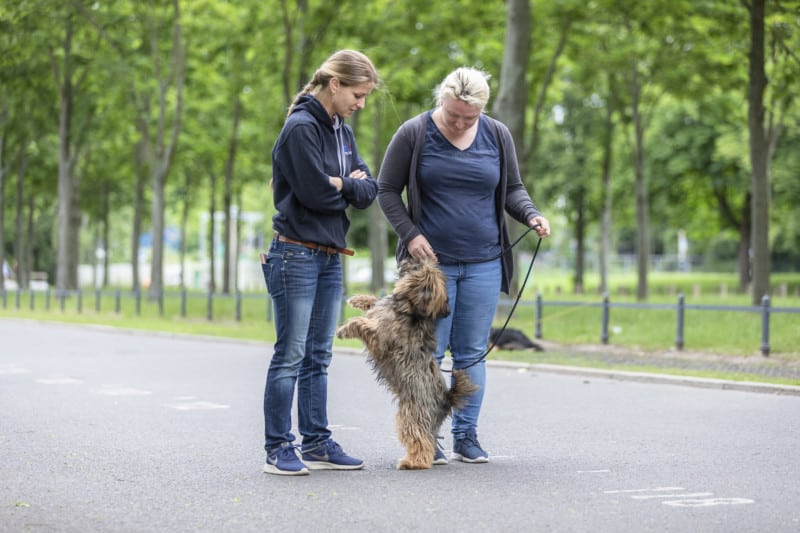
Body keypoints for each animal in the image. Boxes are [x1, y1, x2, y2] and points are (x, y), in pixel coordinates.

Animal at [336, 258, 478, 470]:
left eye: (418, 265)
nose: (407, 257)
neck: (409, 308)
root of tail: (447, 397)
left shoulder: (380, 338)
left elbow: (363, 323)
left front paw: (345, 328)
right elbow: (373, 303)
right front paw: (357, 299)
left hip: (411, 416)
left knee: (421, 440)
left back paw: (412, 462)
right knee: (429, 440)